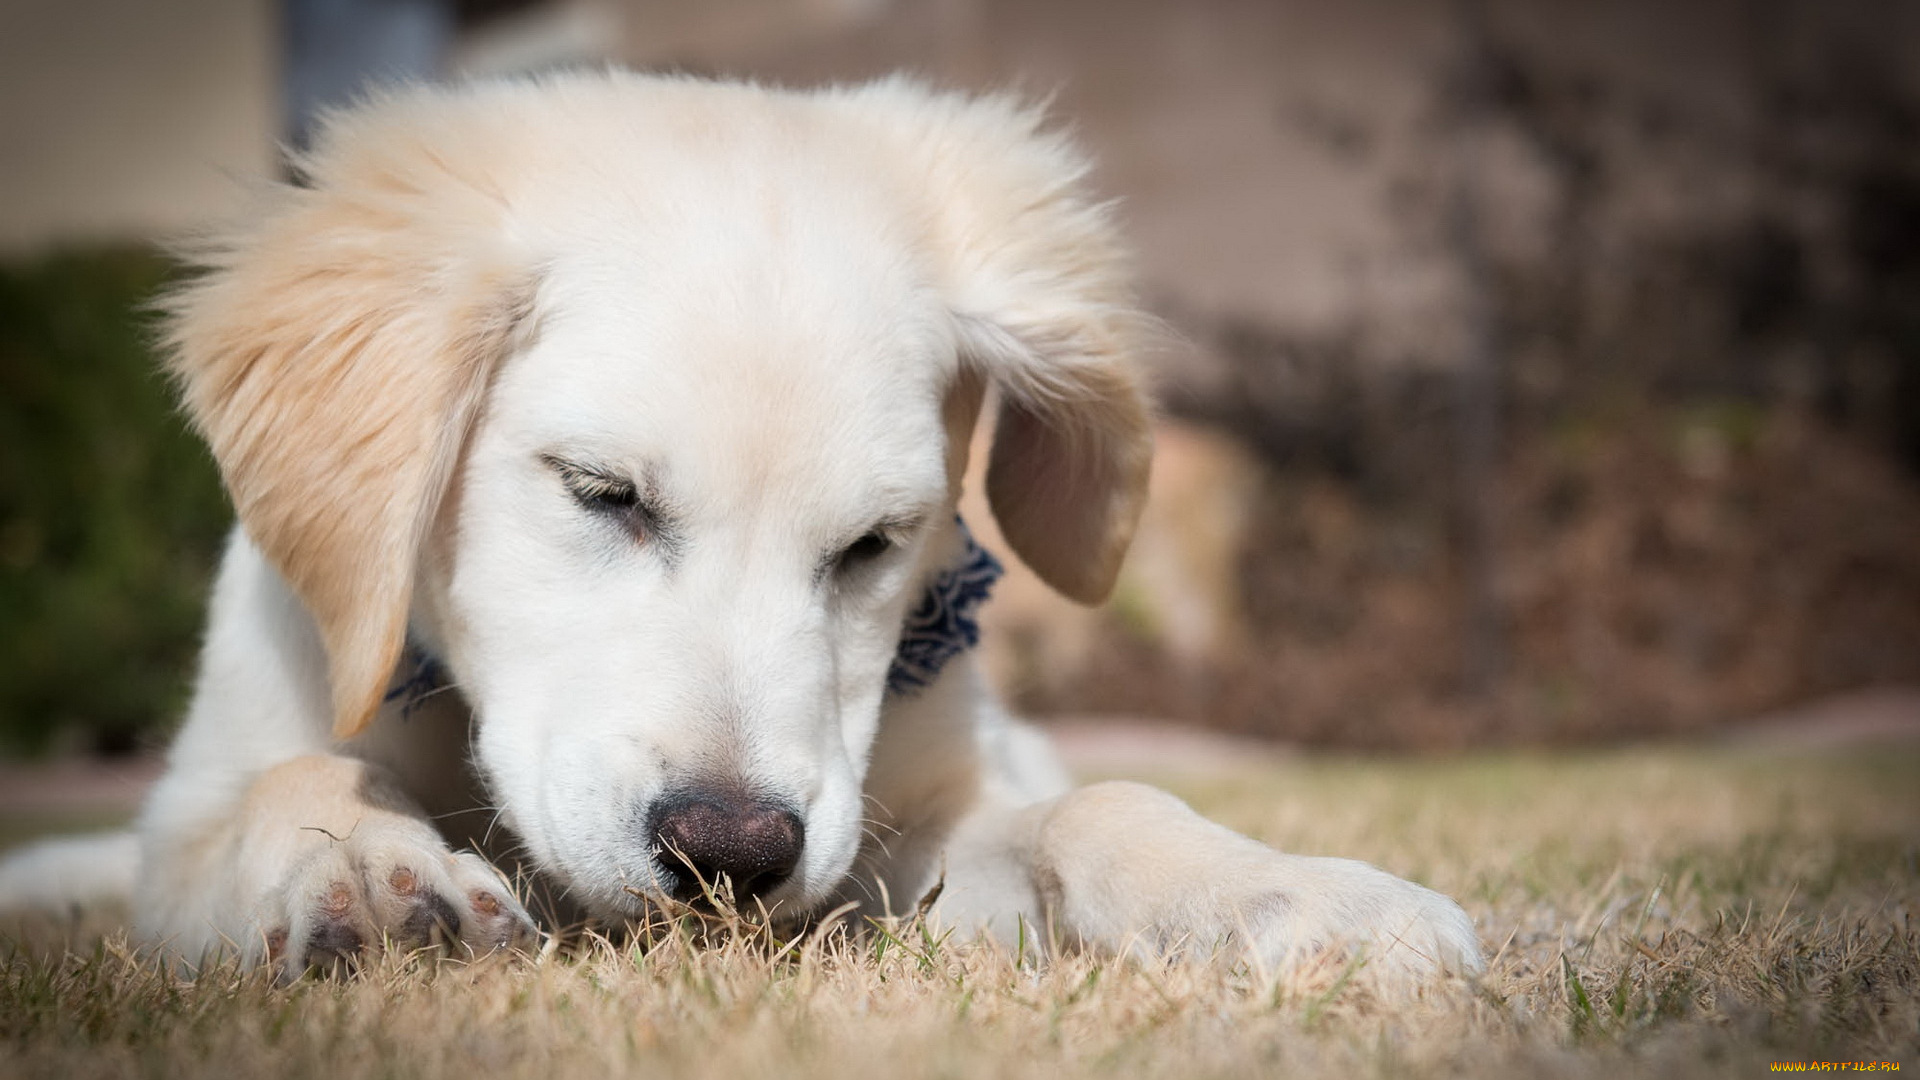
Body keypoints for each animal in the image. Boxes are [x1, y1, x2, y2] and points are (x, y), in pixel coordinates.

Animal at [0, 71, 1482, 980]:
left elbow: (1102, 802)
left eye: (877, 544)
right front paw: (361, 873)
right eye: (600, 491)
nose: (730, 857)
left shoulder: (904, 825)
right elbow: (285, 786)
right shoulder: (201, 800)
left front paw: (1285, 892)